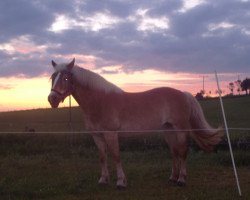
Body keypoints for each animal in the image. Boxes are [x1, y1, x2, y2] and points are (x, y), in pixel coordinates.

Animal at [47, 58, 224, 188]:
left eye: (66, 77)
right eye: (52, 78)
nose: (52, 99)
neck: (99, 101)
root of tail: (183, 93)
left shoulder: (111, 134)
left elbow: (116, 156)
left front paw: (120, 182)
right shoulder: (97, 136)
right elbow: (102, 157)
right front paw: (103, 180)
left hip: (180, 130)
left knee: (182, 152)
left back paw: (181, 179)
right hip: (168, 130)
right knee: (174, 152)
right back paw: (172, 178)